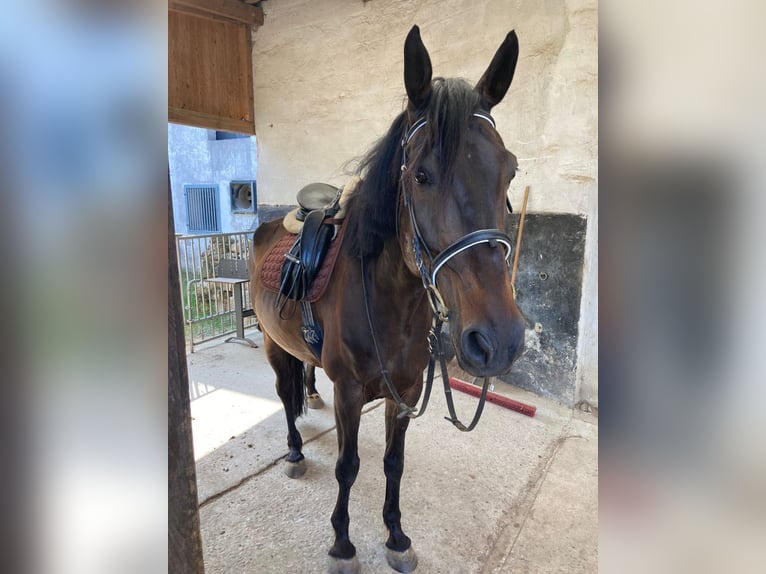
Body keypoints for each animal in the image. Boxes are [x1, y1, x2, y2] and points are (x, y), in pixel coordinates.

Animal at [252, 24, 528, 572]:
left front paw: (396, 535)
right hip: (273, 344)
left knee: (300, 383)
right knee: (283, 393)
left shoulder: (406, 391)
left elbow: (392, 464)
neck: (390, 305)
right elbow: (348, 465)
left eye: (509, 171)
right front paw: (342, 543)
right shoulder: (350, 392)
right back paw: (294, 451)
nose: (499, 341)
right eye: (420, 175)